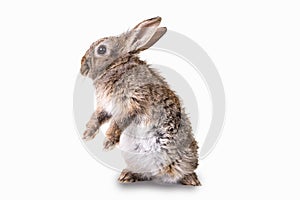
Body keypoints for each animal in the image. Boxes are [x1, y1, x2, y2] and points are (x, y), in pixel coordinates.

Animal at [81, 16, 200, 186]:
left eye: (101, 50)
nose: (82, 67)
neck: (116, 65)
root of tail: (160, 176)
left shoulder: (133, 102)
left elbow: (118, 122)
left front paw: (107, 143)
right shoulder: (106, 106)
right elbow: (98, 117)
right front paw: (87, 134)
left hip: (185, 158)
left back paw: (191, 179)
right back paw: (127, 176)